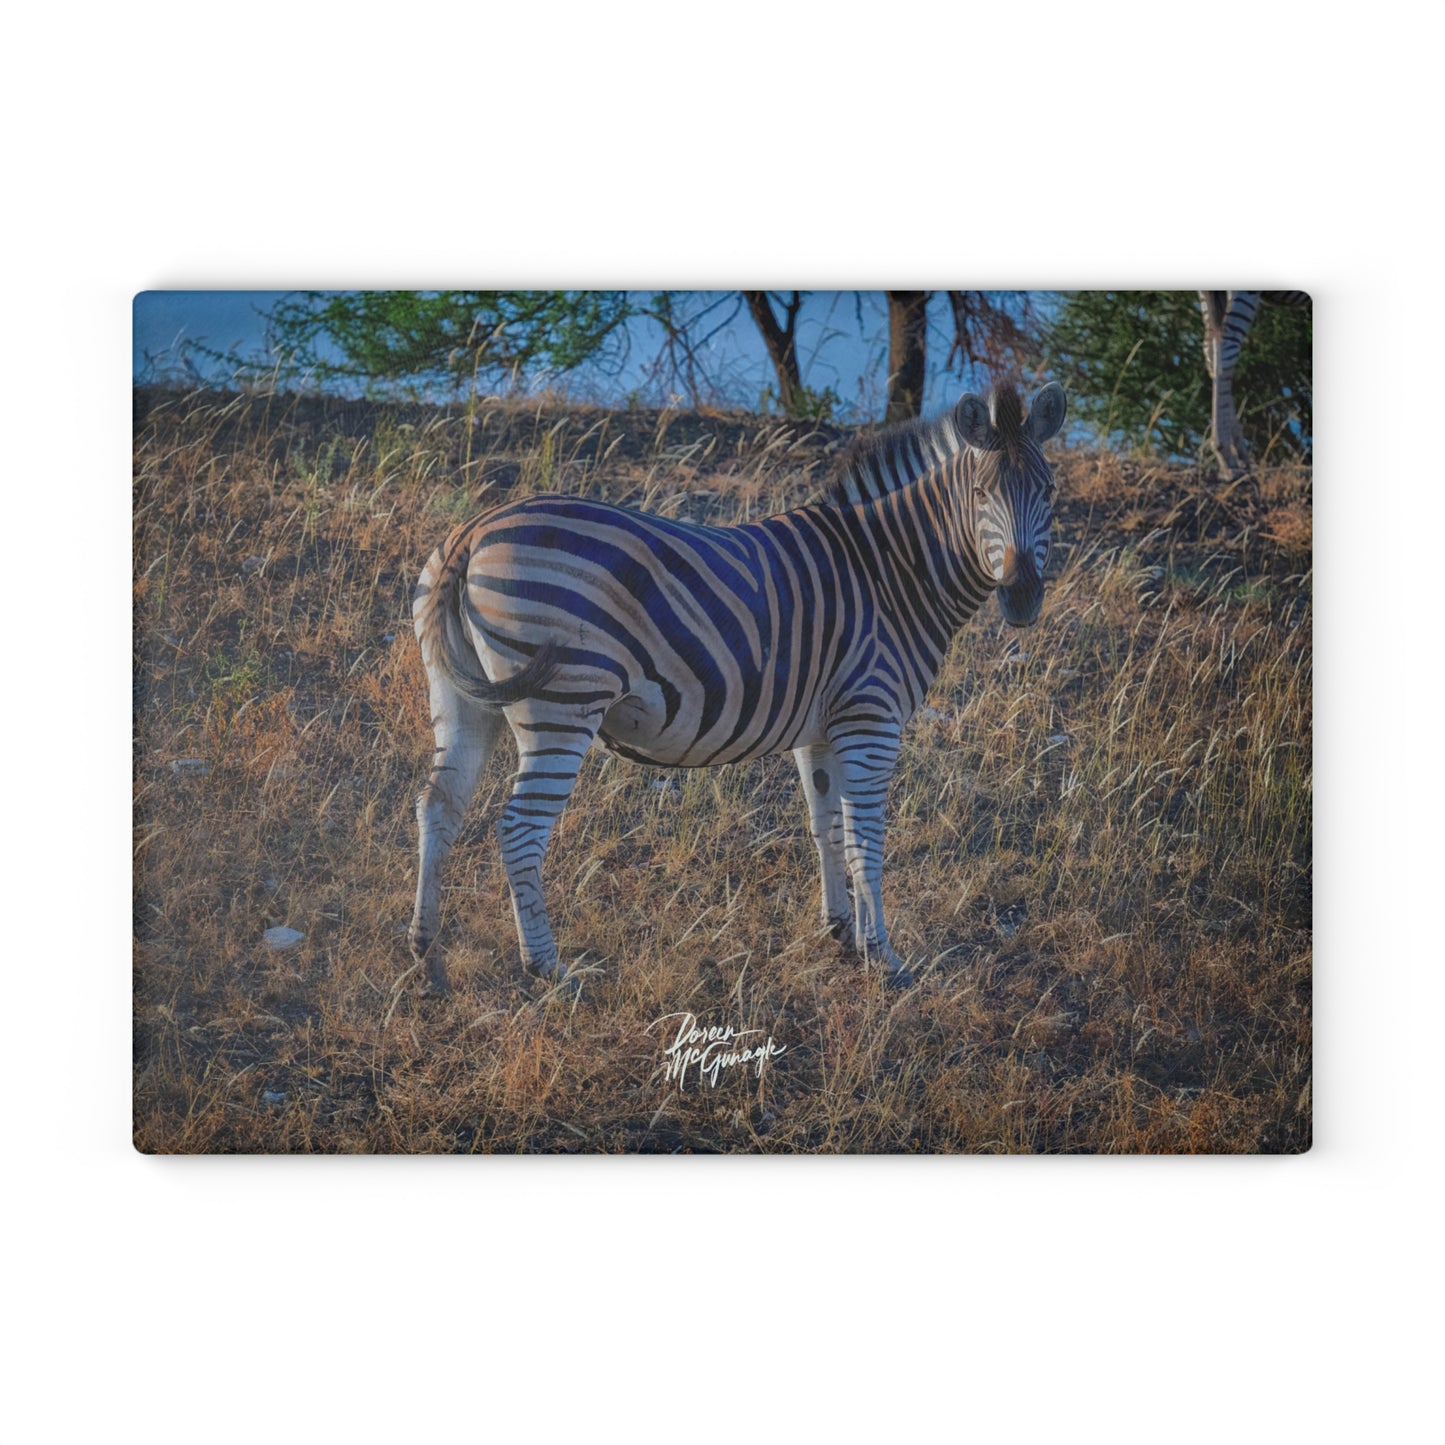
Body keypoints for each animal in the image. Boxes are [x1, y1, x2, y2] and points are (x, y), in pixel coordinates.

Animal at [406, 379, 1067, 994]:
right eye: (981, 495)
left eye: (1049, 493)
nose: (1023, 598)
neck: (890, 572)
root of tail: (472, 532)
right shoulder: (870, 719)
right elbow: (866, 839)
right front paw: (885, 958)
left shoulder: (822, 730)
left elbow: (826, 827)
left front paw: (842, 933)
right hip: (562, 704)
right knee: (519, 831)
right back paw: (547, 968)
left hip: (459, 698)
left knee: (439, 806)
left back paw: (428, 954)